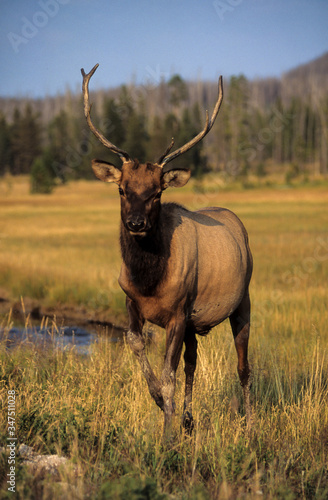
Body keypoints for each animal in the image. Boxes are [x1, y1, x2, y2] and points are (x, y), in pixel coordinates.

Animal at [80, 64, 252, 436]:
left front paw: (166, 432)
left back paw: (248, 423)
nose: (136, 223)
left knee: (243, 366)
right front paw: (159, 401)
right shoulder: (132, 301)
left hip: (243, 300)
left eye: (157, 192)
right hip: (195, 321)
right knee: (192, 363)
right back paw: (189, 421)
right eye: (121, 189)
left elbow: (169, 374)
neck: (150, 280)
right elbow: (137, 345)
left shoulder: (178, 311)